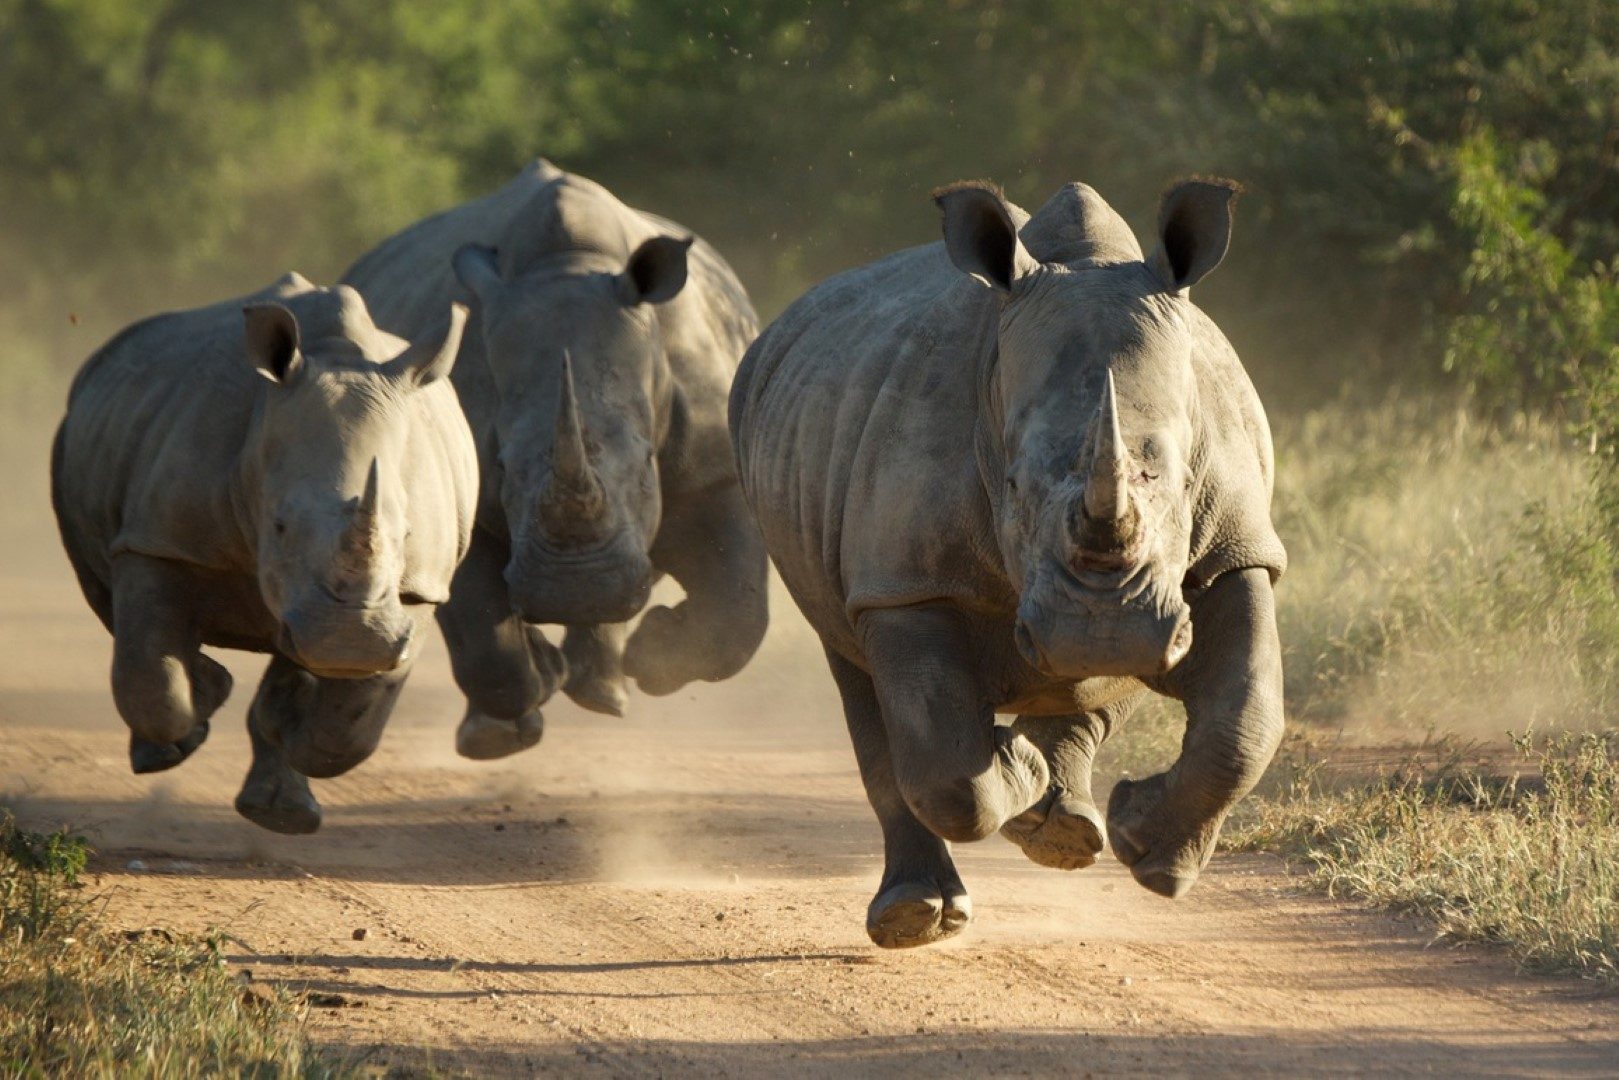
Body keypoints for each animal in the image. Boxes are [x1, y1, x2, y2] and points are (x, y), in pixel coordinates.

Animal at [52, 275, 479, 835]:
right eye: (279, 526)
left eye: (405, 534)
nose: (352, 643)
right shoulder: (159, 542)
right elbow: (154, 682)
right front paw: (208, 695)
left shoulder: (419, 588)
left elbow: (352, 728)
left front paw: (290, 722)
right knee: (107, 600)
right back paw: (173, 748)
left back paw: (282, 812)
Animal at [343, 158, 770, 761]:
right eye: (500, 466)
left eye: (648, 465)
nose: (575, 588)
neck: (572, 266)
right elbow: (482, 630)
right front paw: (510, 723)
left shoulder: (714, 470)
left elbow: (739, 612)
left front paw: (655, 657)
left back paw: (604, 695)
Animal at [728, 175, 1282, 945]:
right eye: (1013, 486)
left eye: (1174, 481)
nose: (1102, 632)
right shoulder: (905, 582)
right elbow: (945, 768)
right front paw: (1013, 767)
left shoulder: (1235, 550)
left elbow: (1246, 717)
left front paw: (1151, 855)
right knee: (861, 682)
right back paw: (917, 912)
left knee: (1088, 689)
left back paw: (1062, 827)